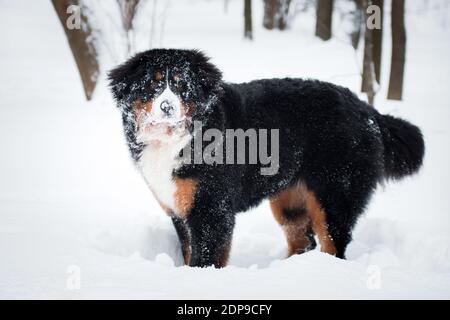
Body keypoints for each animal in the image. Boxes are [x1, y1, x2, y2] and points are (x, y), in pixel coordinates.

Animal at [109, 48, 426, 268]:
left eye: (181, 86)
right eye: (153, 85)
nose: (167, 107)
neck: (178, 139)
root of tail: (367, 111)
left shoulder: (211, 208)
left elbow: (205, 257)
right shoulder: (179, 208)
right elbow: (188, 252)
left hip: (335, 194)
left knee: (332, 243)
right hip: (290, 201)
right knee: (303, 239)